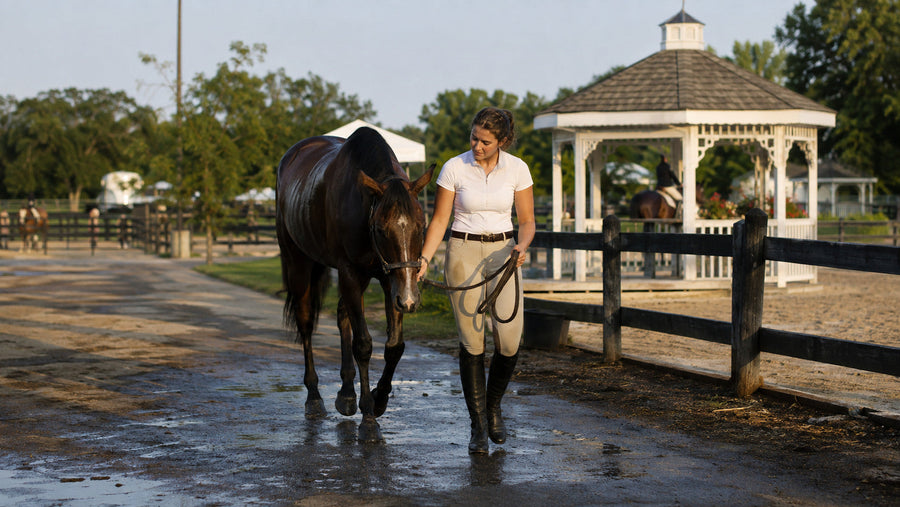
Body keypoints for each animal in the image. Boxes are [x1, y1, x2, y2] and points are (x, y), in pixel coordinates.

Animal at [276, 126, 434, 442]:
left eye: (421, 226)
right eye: (381, 229)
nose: (410, 300)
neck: (364, 206)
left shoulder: (390, 280)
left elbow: (394, 346)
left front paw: (379, 399)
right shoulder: (352, 273)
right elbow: (363, 344)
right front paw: (369, 418)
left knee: (342, 317)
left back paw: (346, 393)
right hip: (298, 261)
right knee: (306, 323)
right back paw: (314, 397)